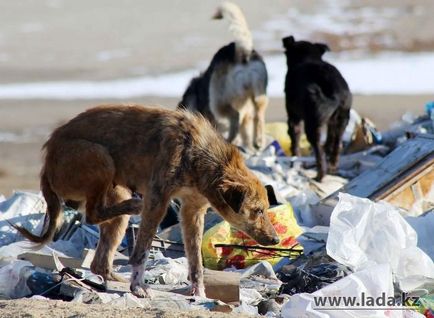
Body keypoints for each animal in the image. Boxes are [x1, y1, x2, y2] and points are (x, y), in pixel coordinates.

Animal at [15, 104, 278, 298]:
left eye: (265, 209)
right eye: (258, 211)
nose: (276, 240)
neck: (200, 153)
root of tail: (47, 162)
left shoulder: (192, 211)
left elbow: (196, 262)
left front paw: (199, 293)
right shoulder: (157, 200)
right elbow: (141, 252)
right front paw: (138, 287)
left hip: (115, 199)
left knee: (99, 259)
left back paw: (112, 278)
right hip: (100, 158)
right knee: (92, 213)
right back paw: (134, 207)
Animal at [177, 1, 266, 150]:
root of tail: (240, 52)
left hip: (217, 101)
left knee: (235, 115)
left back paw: (231, 139)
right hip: (259, 95)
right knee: (258, 115)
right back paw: (257, 141)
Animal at [282, 35, 352, 181]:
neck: (307, 58)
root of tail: (335, 92)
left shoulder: (293, 118)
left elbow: (295, 143)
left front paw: (295, 165)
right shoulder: (331, 122)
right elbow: (330, 140)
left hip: (312, 124)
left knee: (318, 151)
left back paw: (320, 175)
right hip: (342, 119)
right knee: (337, 145)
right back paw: (332, 167)